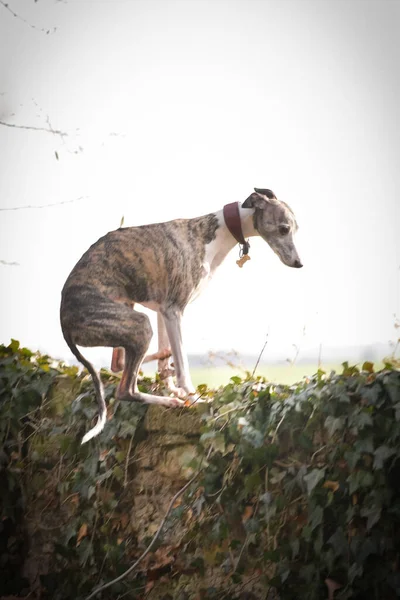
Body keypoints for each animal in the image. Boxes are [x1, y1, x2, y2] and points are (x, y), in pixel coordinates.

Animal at [60, 190, 304, 442]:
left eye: (295, 229)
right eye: (284, 229)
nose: (299, 264)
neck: (215, 233)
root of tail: (64, 323)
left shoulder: (162, 310)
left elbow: (167, 361)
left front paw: (168, 377)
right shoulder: (173, 309)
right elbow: (183, 365)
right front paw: (192, 394)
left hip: (129, 312)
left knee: (118, 364)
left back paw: (164, 362)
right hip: (138, 323)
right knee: (126, 389)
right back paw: (171, 400)